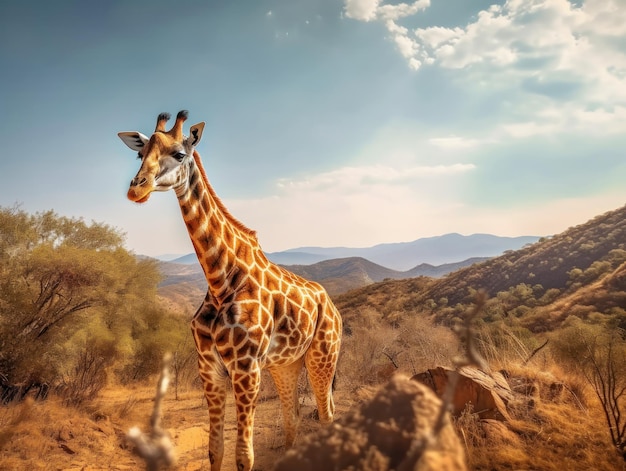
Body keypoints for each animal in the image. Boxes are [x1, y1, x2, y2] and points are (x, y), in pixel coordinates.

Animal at [117, 111, 342, 471]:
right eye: (140, 155)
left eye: (179, 154)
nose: (137, 189)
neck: (220, 281)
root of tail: (333, 305)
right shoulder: (209, 369)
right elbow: (216, 450)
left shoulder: (246, 368)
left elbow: (244, 457)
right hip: (286, 363)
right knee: (292, 417)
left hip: (323, 356)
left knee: (327, 415)